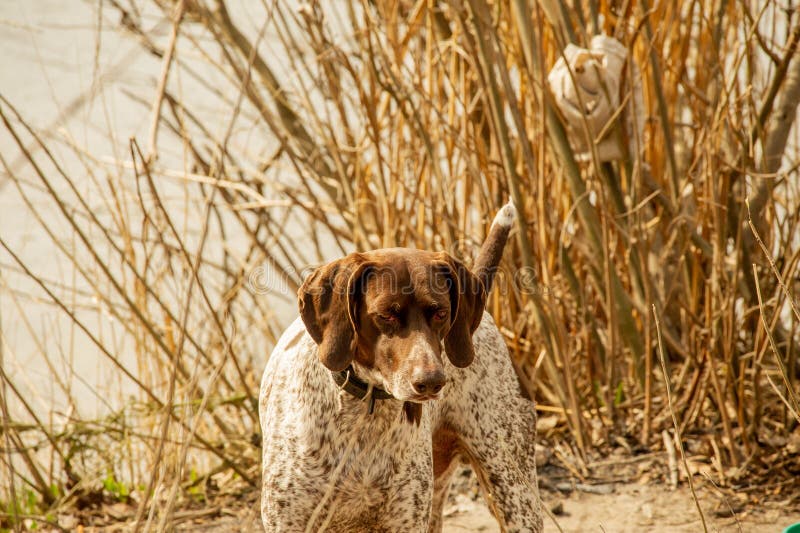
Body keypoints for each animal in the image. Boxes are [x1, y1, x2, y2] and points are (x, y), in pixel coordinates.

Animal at [258, 202, 544, 528]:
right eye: (386, 314)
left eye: (441, 313)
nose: (431, 381)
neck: (365, 413)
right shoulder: (289, 520)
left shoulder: (405, 519)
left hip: (514, 493)